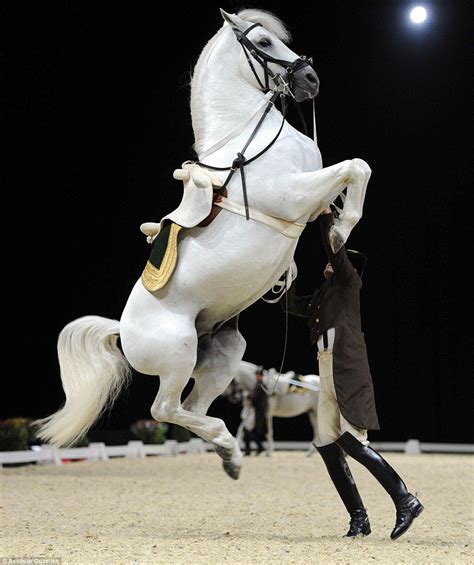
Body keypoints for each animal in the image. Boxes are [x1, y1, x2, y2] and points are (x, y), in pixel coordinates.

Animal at [35, 7, 372, 480]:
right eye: (263, 43)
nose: (309, 79)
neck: (248, 143)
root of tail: (123, 330)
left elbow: (353, 171)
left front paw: (337, 226)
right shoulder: (291, 196)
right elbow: (355, 167)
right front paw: (343, 229)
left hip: (224, 354)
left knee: (191, 408)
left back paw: (229, 455)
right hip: (177, 356)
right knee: (164, 409)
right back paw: (227, 445)